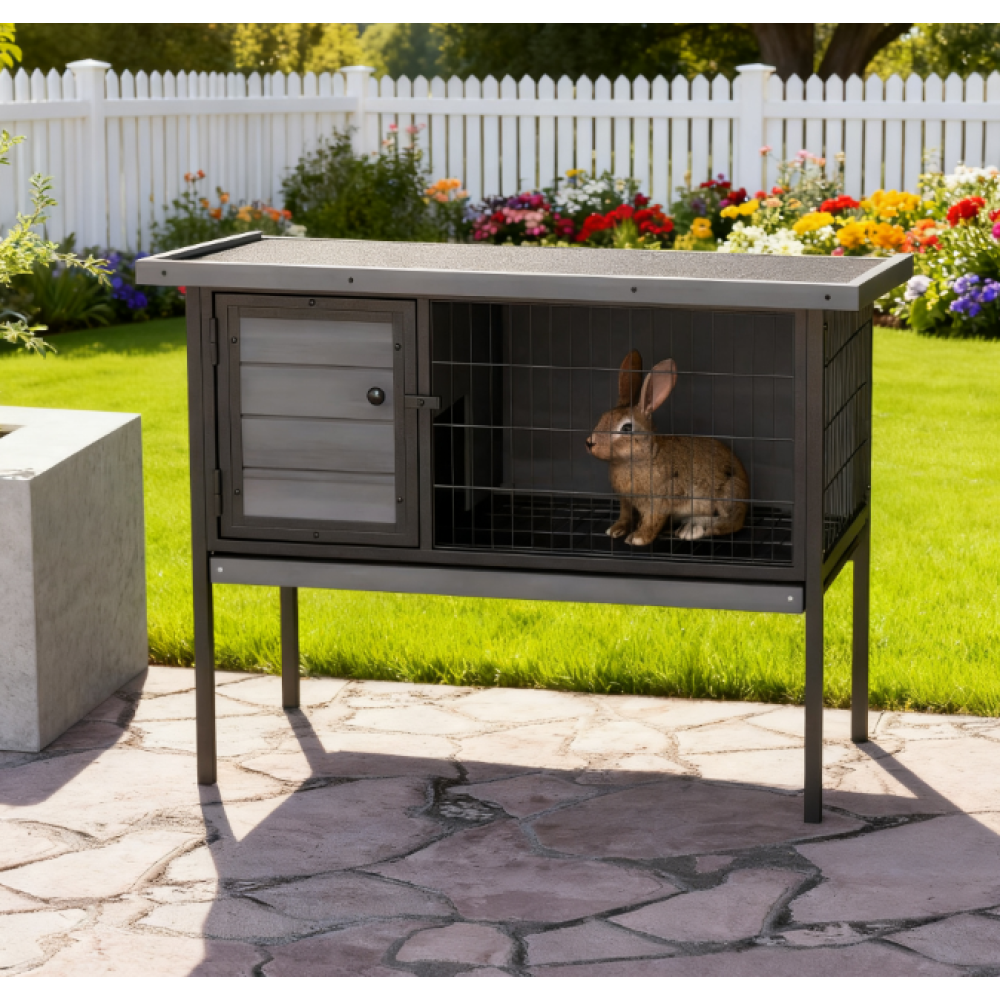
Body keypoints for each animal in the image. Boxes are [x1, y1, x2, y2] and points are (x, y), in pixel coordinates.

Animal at [585, 350, 749, 546]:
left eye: (626, 428)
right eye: (603, 417)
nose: (590, 442)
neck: (640, 457)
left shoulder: (660, 501)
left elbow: (653, 521)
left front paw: (638, 538)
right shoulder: (625, 501)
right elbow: (625, 516)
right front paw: (615, 530)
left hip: (727, 492)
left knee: (730, 523)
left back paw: (692, 529)